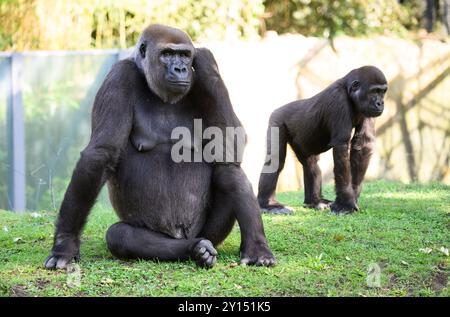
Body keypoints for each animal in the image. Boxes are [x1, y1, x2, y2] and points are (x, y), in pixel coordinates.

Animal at [44, 24, 274, 270]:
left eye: (185, 55)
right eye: (167, 54)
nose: (181, 69)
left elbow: (231, 139)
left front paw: (205, 60)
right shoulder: (119, 76)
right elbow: (100, 153)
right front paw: (65, 244)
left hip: (207, 231)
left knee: (228, 169)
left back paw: (255, 247)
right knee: (121, 235)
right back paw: (195, 249)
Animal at [256, 67, 386, 215]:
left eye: (383, 92)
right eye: (374, 91)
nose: (380, 103)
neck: (348, 91)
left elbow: (363, 143)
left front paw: (353, 194)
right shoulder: (338, 100)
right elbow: (341, 147)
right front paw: (346, 203)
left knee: (310, 163)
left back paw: (314, 201)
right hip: (277, 118)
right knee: (275, 161)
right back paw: (268, 204)